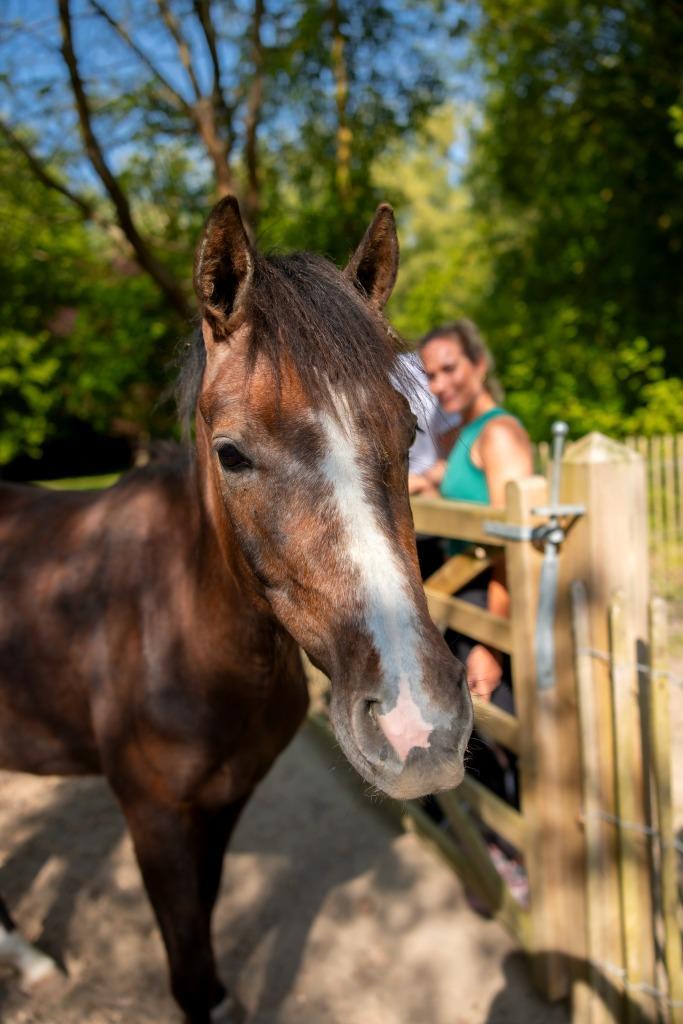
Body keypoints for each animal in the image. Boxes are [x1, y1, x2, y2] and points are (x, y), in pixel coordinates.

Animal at [0, 198, 473, 1023]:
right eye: (230, 453)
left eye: (410, 432)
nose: (419, 726)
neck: (181, 632)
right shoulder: (154, 821)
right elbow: (189, 971)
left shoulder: (222, 806)